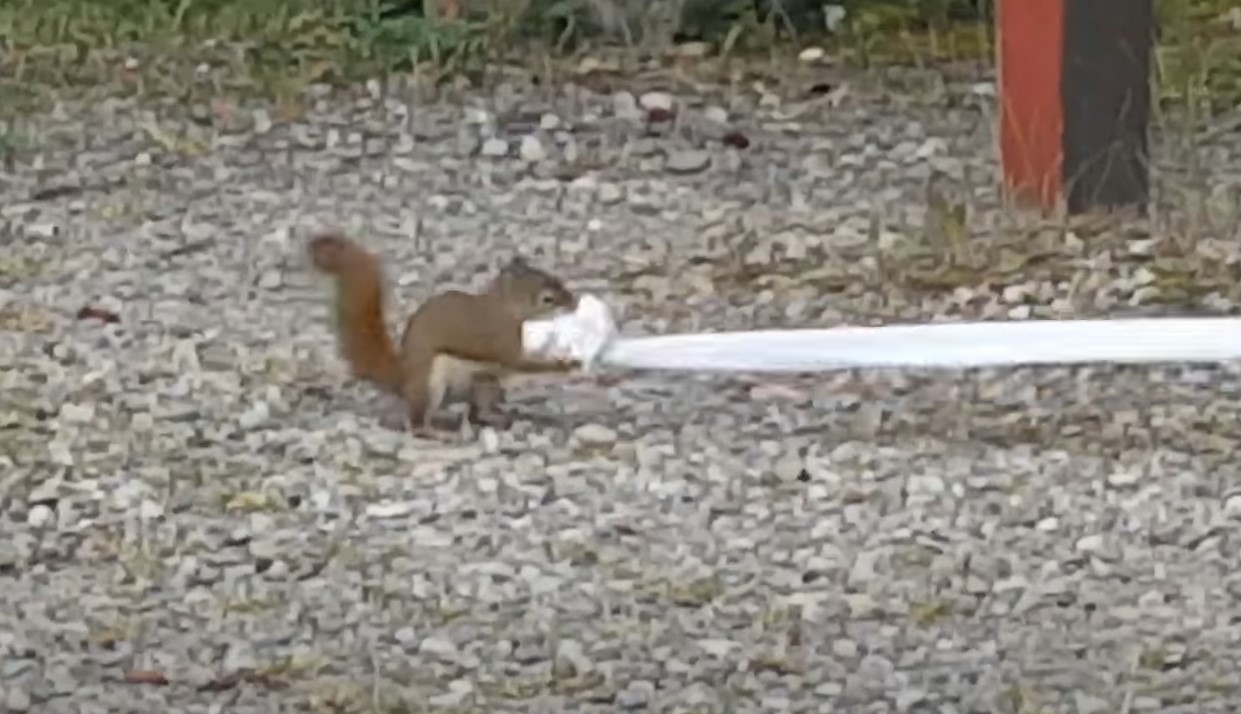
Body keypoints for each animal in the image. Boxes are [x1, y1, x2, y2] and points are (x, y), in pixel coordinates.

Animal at [310, 234, 580, 437]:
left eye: (557, 279)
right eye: (547, 298)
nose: (574, 302)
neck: (503, 308)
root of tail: (403, 381)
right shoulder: (501, 342)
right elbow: (523, 363)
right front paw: (566, 363)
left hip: (483, 383)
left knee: (479, 411)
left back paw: (497, 416)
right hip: (432, 385)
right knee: (416, 423)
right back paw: (439, 433)